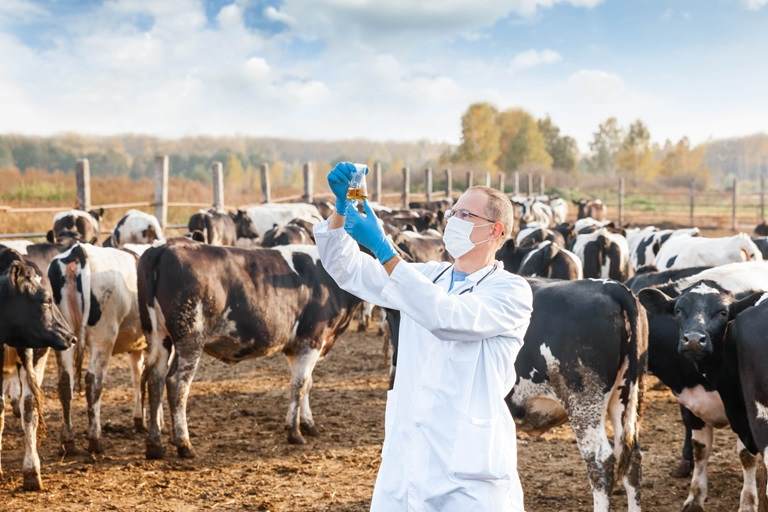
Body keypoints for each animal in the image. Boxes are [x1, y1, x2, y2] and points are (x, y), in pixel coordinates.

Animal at [49, 242, 147, 454]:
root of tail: (78, 251)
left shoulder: (136, 346)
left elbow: (138, 377)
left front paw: (139, 420)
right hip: (103, 338)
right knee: (93, 382)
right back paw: (95, 440)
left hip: (64, 337)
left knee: (64, 383)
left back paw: (68, 441)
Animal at [136, 238, 364, 454]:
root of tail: (165, 246)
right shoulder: (311, 340)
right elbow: (299, 386)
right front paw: (294, 433)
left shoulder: (297, 347)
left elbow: (307, 383)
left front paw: (308, 425)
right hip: (190, 337)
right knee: (177, 383)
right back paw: (184, 444)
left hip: (158, 336)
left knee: (154, 378)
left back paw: (155, 445)